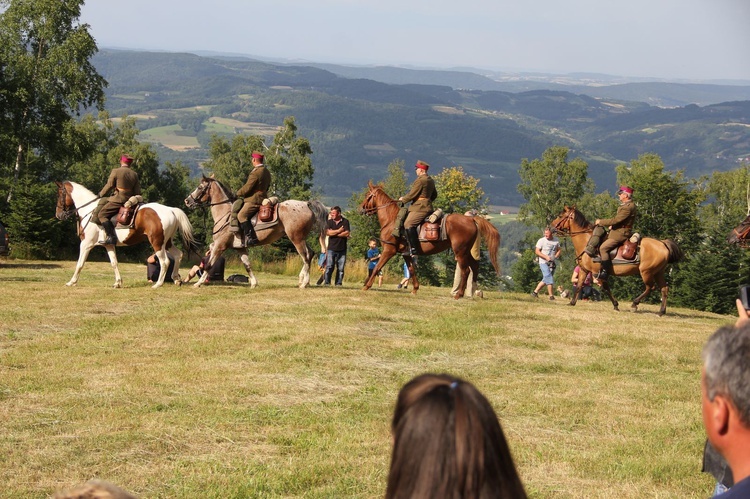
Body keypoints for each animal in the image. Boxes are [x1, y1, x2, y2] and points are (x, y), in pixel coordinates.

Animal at [54, 181, 200, 290]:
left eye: (60, 194)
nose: (58, 215)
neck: (89, 210)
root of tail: (171, 210)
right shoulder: (108, 245)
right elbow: (114, 263)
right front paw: (118, 282)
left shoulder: (86, 244)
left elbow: (80, 263)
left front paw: (71, 282)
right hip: (167, 242)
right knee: (178, 255)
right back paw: (176, 279)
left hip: (157, 243)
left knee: (165, 261)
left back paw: (158, 284)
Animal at [184, 176, 328, 288]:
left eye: (200, 187)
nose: (187, 201)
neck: (225, 213)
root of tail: (306, 204)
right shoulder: (240, 248)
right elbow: (247, 265)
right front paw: (254, 283)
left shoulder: (219, 246)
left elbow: (209, 264)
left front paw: (198, 283)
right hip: (301, 238)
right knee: (310, 254)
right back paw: (303, 280)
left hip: (296, 238)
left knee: (306, 256)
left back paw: (304, 283)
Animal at [358, 184, 500, 300]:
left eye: (367, 195)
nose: (360, 209)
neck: (392, 220)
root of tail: (471, 219)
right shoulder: (406, 254)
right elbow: (412, 270)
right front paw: (415, 289)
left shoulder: (389, 250)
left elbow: (377, 267)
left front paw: (366, 286)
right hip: (467, 251)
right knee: (475, 267)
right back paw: (474, 291)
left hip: (460, 252)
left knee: (466, 271)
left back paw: (459, 295)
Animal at [548, 204, 684, 314]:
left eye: (560, 215)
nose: (549, 228)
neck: (588, 241)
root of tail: (663, 244)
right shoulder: (584, 270)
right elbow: (580, 285)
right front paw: (572, 302)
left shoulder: (598, 272)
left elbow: (606, 288)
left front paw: (616, 305)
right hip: (658, 272)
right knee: (664, 289)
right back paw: (661, 311)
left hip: (646, 272)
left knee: (651, 287)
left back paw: (635, 304)